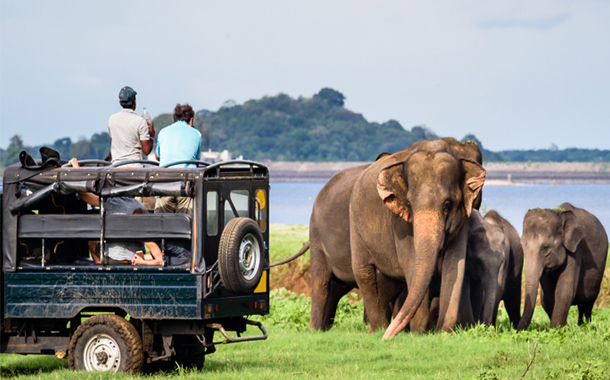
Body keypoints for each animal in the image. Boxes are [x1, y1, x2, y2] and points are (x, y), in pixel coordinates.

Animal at [516, 202, 604, 330]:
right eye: (521, 245)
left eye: (545, 248)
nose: (515, 330)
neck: (558, 213)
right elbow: (547, 297)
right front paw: (562, 328)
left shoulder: (576, 248)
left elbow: (564, 291)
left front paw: (555, 330)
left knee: (587, 303)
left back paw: (584, 326)